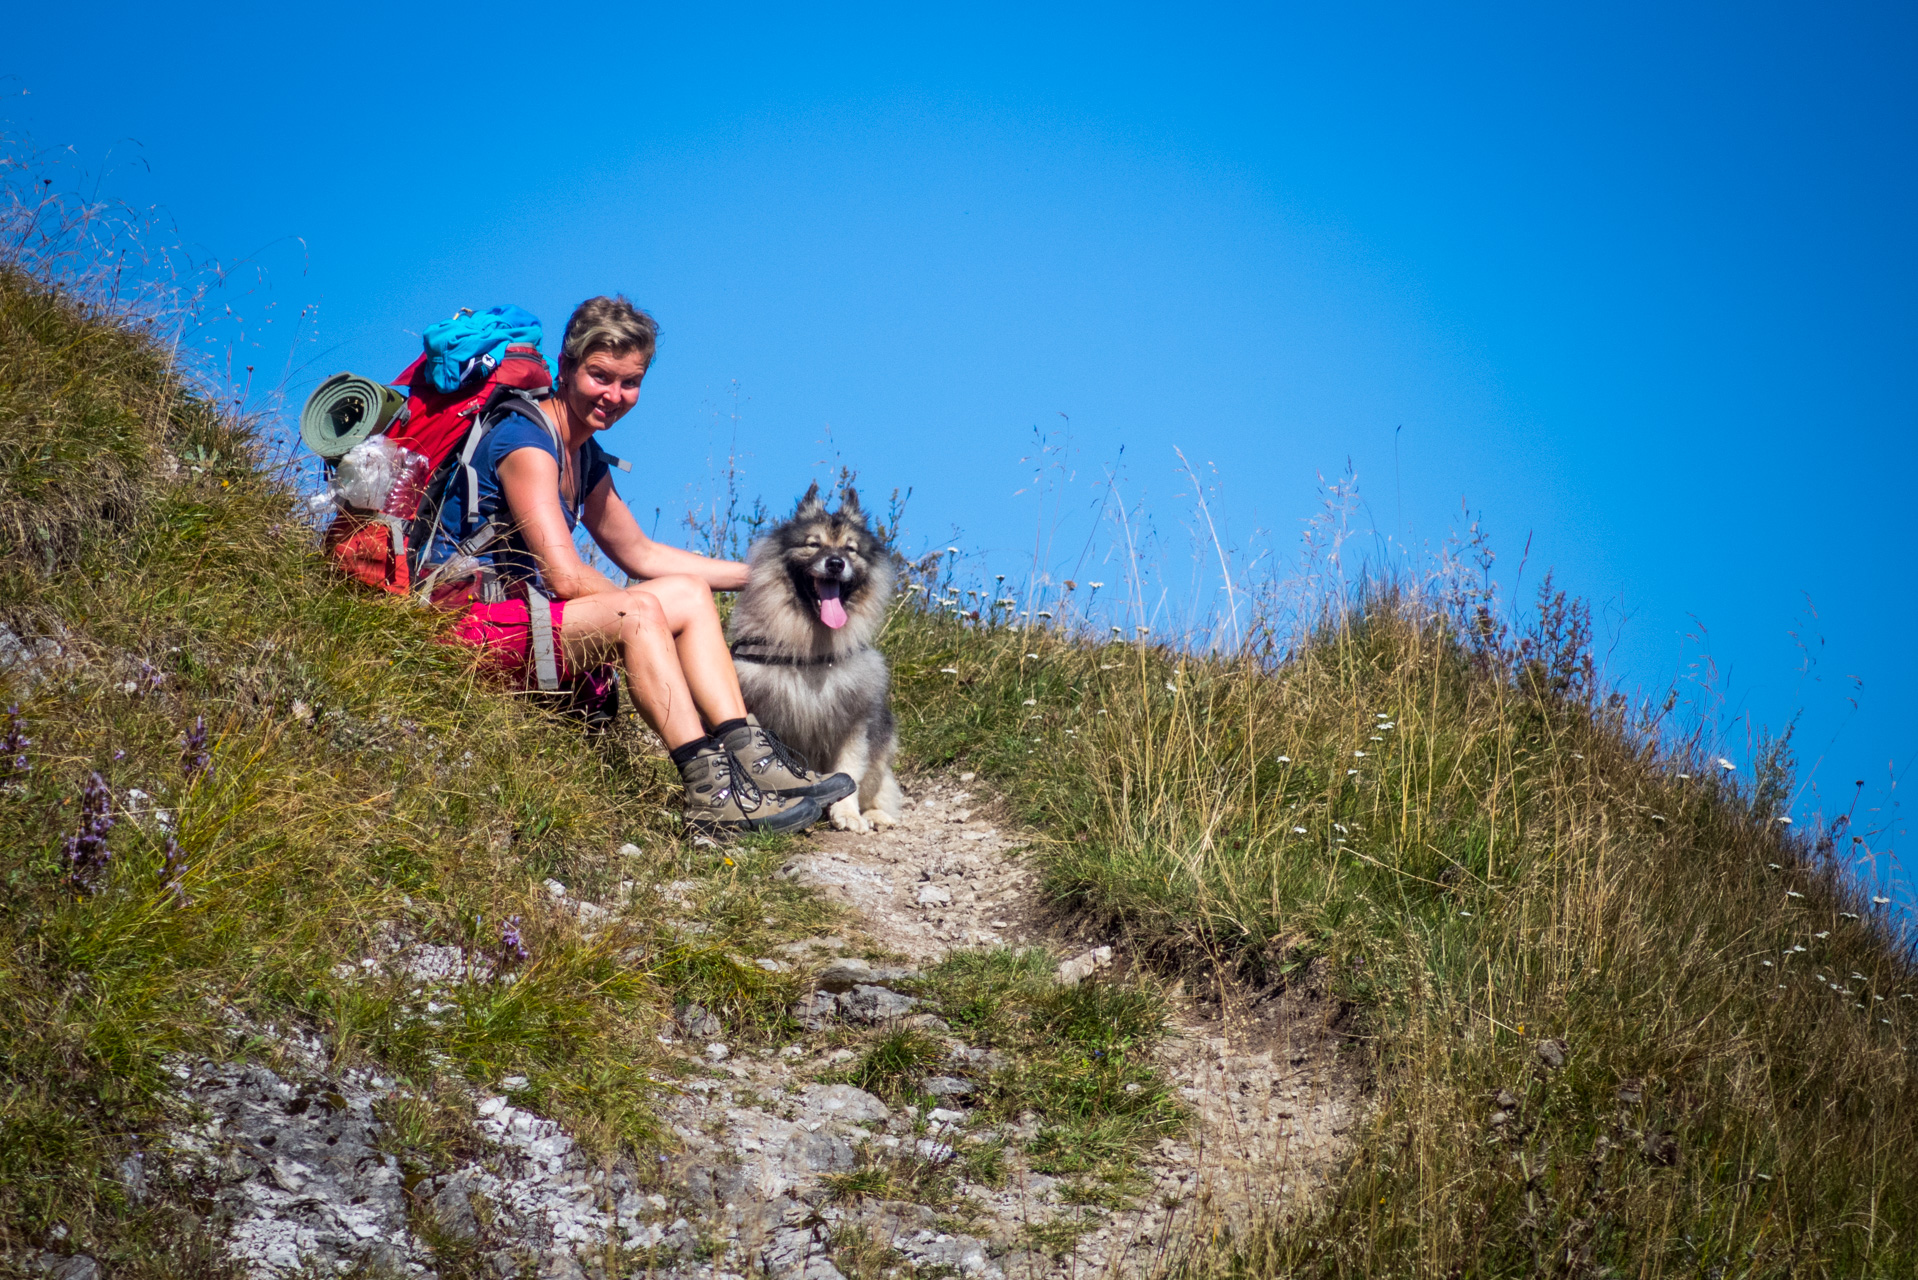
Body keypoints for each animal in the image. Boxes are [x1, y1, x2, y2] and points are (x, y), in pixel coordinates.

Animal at [728, 483, 901, 832]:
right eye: (814, 544)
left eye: (850, 549)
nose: (835, 563)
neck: (813, 652)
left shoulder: (854, 722)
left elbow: (849, 772)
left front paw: (847, 814)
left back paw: (877, 815)